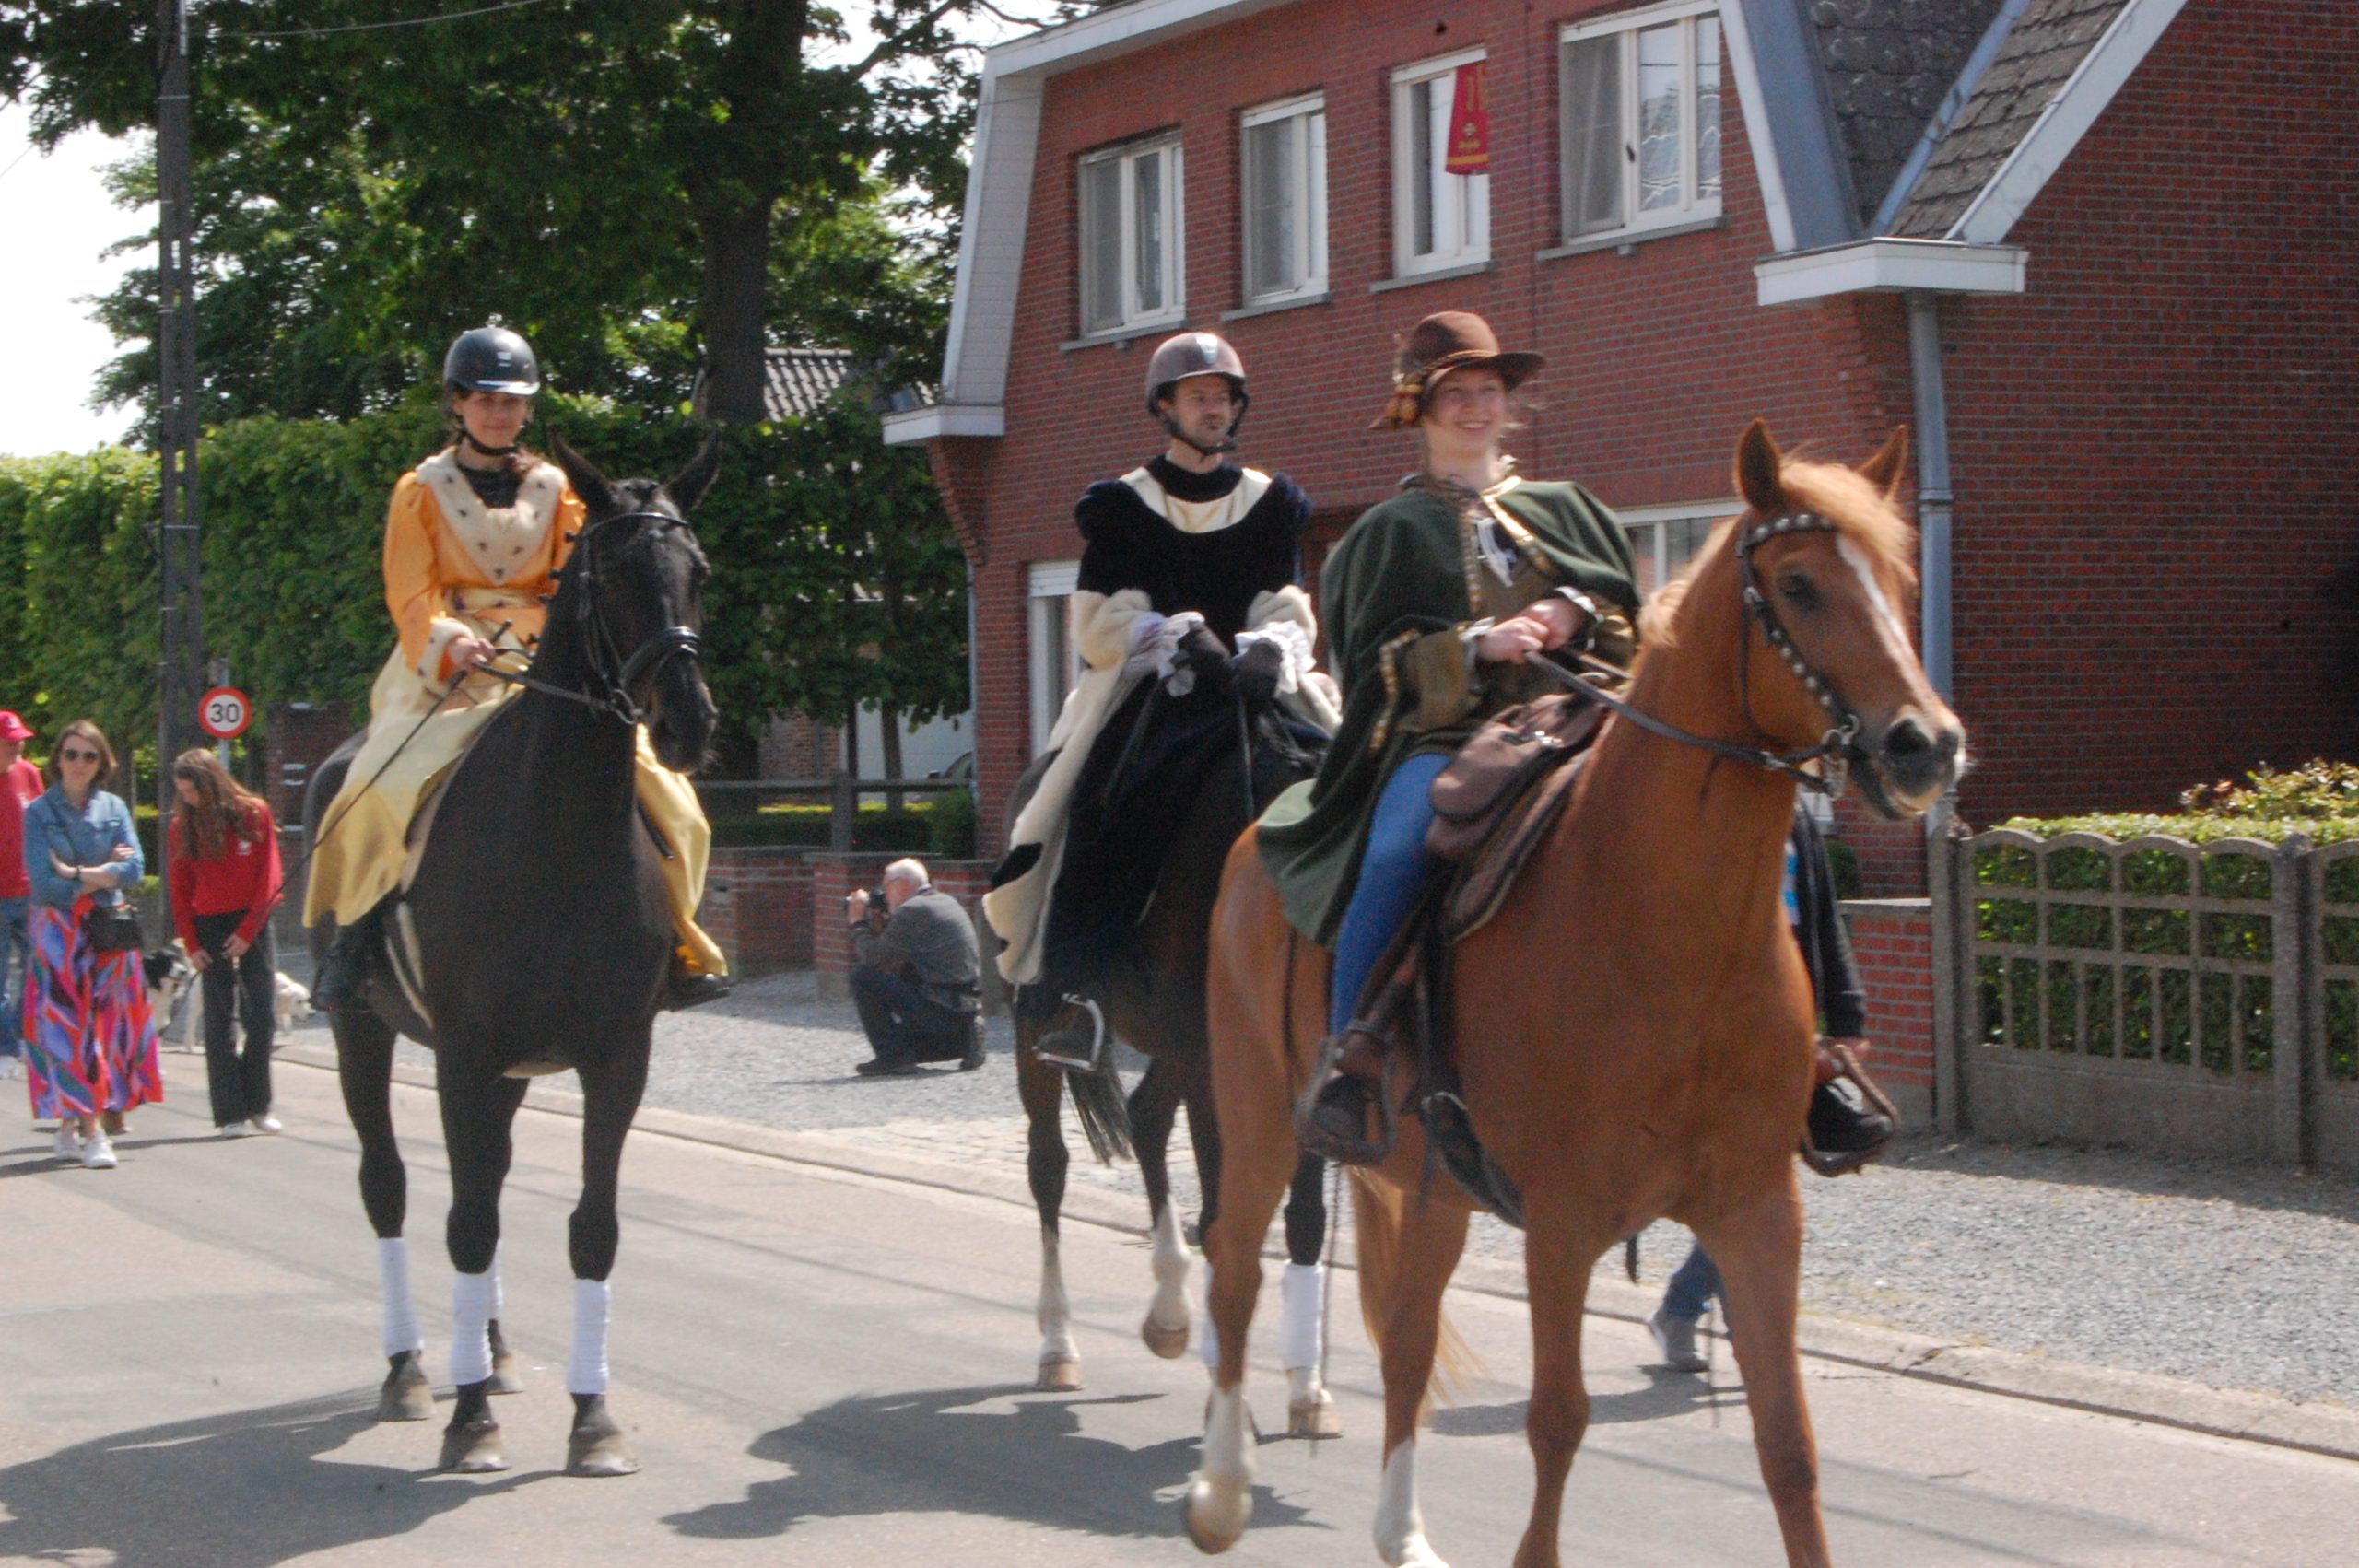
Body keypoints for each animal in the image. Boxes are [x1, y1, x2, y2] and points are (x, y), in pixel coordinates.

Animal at [309, 433, 722, 1471]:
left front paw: (593, 1417)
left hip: (509, 1073)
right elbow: (465, 1220)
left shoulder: (615, 1058)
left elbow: (589, 1229)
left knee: (484, 1184)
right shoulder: (462, 1056)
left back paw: (487, 1356)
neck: (556, 831)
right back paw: (415, 1370)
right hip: (364, 1035)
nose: (688, 722)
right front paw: (467, 1424)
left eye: (696, 571)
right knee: (390, 1187)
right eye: (613, 572)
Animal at [1018, 684, 1349, 1433]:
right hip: (1040, 1031)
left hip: (1173, 1051)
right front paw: (1229, 1406)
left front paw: (1308, 1390)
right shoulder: (1214, 1073)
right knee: (1048, 1170)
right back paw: (1058, 1346)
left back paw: (1169, 1315)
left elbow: (1304, 1222)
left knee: (1145, 1120)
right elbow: (1227, 1219)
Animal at [1189, 422, 1962, 1556]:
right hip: (1257, 1126)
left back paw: (1401, 1534)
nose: (1925, 744)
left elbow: (1789, 1445)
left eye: (1900, 580)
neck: (1669, 928)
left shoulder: (1756, 1213)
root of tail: (1256, 840)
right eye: (1799, 583)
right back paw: (1221, 1493)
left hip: (1429, 1181)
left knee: (1406, 1338)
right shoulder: (1562, 1221)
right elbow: (1557, 1421)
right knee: (1235, 1275)